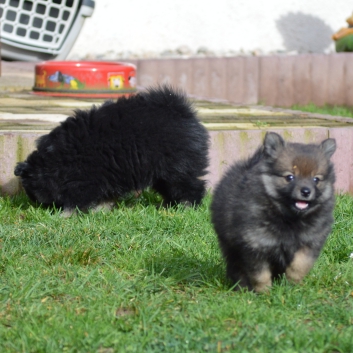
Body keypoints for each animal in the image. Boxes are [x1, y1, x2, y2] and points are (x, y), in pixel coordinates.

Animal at [15, 85, 209, 214]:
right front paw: (101, 210)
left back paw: (186, 206)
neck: (53, 163)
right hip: (162, 173)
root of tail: (182, 111)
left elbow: (77, 199)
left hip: (177, 166)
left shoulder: (84, 179)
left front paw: (68, 214)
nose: (37, 205)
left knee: (189, 186)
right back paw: (168, 206)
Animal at [209, 131, 336, 290]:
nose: (306, 191)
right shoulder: (255, 245)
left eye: (316, 179)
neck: (289, 218)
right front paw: (265, 292)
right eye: (290, 177)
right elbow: (260, 274)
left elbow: (299, 265)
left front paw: (292, 285)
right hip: (230, 246)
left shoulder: (310, 242)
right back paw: (241, 287)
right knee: (236, 266)